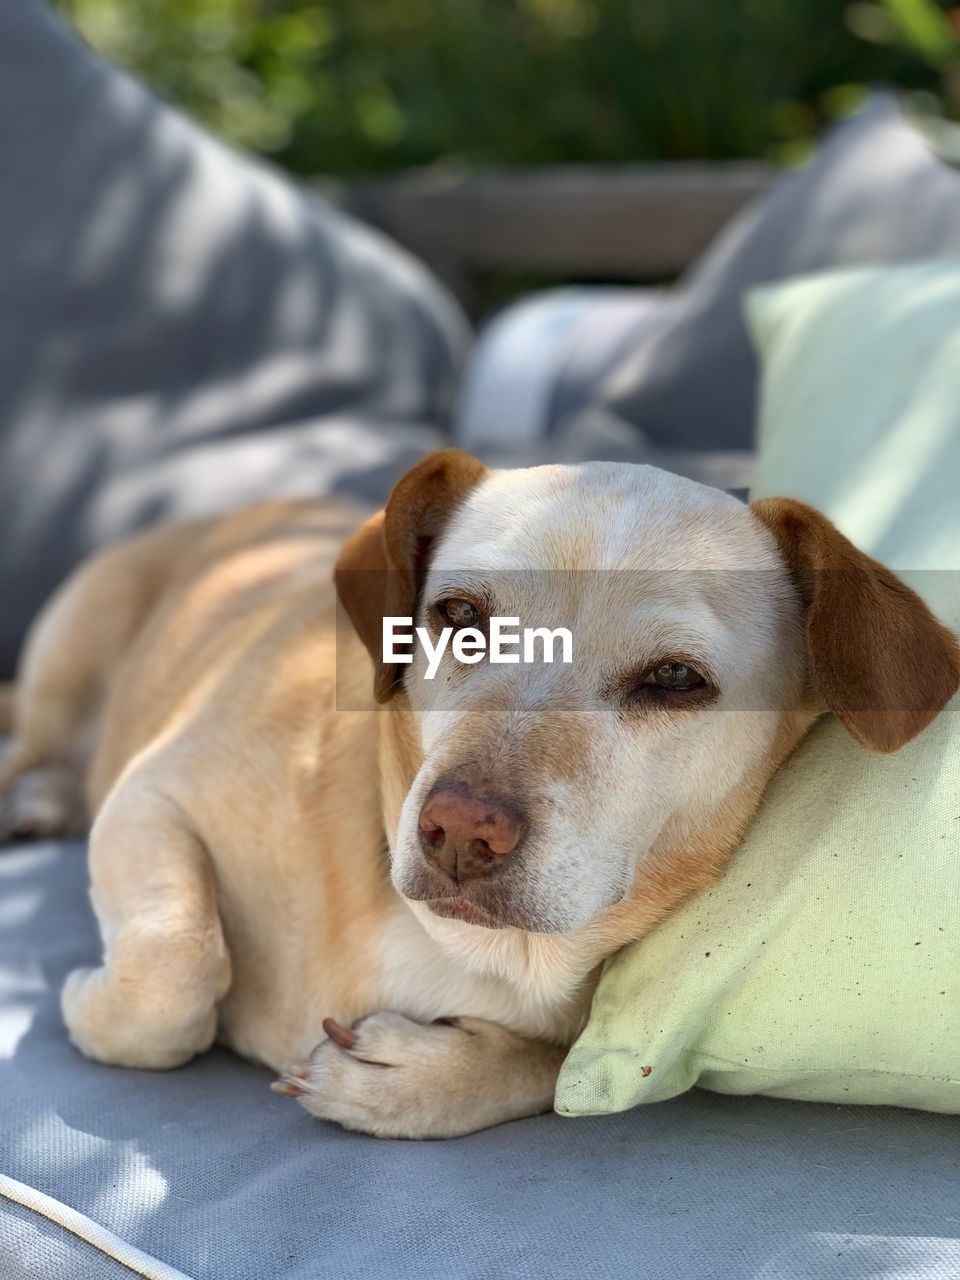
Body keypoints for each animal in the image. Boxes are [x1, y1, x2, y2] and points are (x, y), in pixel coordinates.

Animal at [0, 453, 957, 1141]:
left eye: (676, 680)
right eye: (459, 615)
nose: (460, 830)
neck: (459, 944)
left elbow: (553, 1067)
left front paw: (410, 1079)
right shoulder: (152, 794)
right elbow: (177, 967)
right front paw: (90, 1000)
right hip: (65, 667)